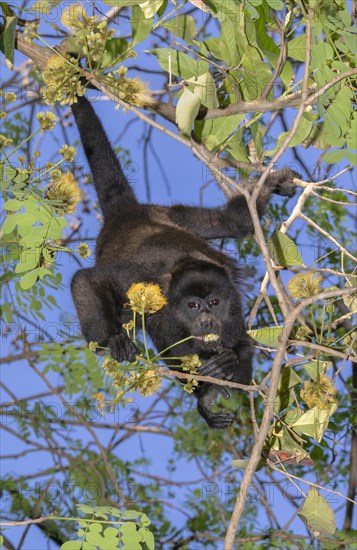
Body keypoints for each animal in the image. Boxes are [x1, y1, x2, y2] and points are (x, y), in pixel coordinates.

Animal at [69, 96, 294, 432]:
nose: (207, 320)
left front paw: (227, 364)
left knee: (235, 222)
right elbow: (86, 279)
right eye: (192, 305)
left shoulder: (232, 306)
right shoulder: (143, 280)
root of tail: (129, 213)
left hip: (175, 216)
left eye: (214, 302)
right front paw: (112, 340)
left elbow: (243, 345)